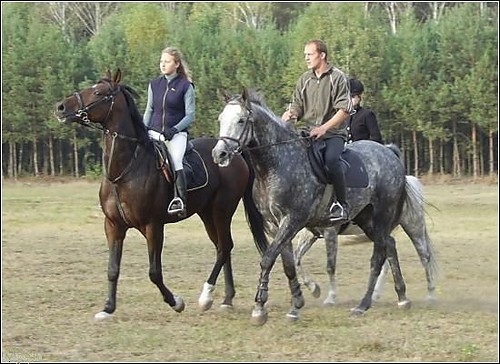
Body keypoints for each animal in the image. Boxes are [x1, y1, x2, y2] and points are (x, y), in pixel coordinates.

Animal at [53, 69, 254, 320]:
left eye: (99, 92)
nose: (61, 107)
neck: (126, 170)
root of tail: (233, 154)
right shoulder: (113, 226)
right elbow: (112, 269)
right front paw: (108, 308)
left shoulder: (153, 226)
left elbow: (154, 272)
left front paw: (176, 302)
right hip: (207, 214)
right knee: (222, 247)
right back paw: (227, 299)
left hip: (221, 211)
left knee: (224, 247)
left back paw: (208, 297)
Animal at [212, 89, 438, 328]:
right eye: (221, 119)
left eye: (241, 120)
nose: (219, 154)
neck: (278, 164)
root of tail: (389, 153)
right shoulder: (277, 226)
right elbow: (289, 263)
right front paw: (297, 305)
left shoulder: (294, 221)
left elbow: (269, 259)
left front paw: (259, 308)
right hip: (367, 220)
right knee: (390, 246)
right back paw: (402, 297)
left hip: (389, 219)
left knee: (391, 256)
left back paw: (366, 304)